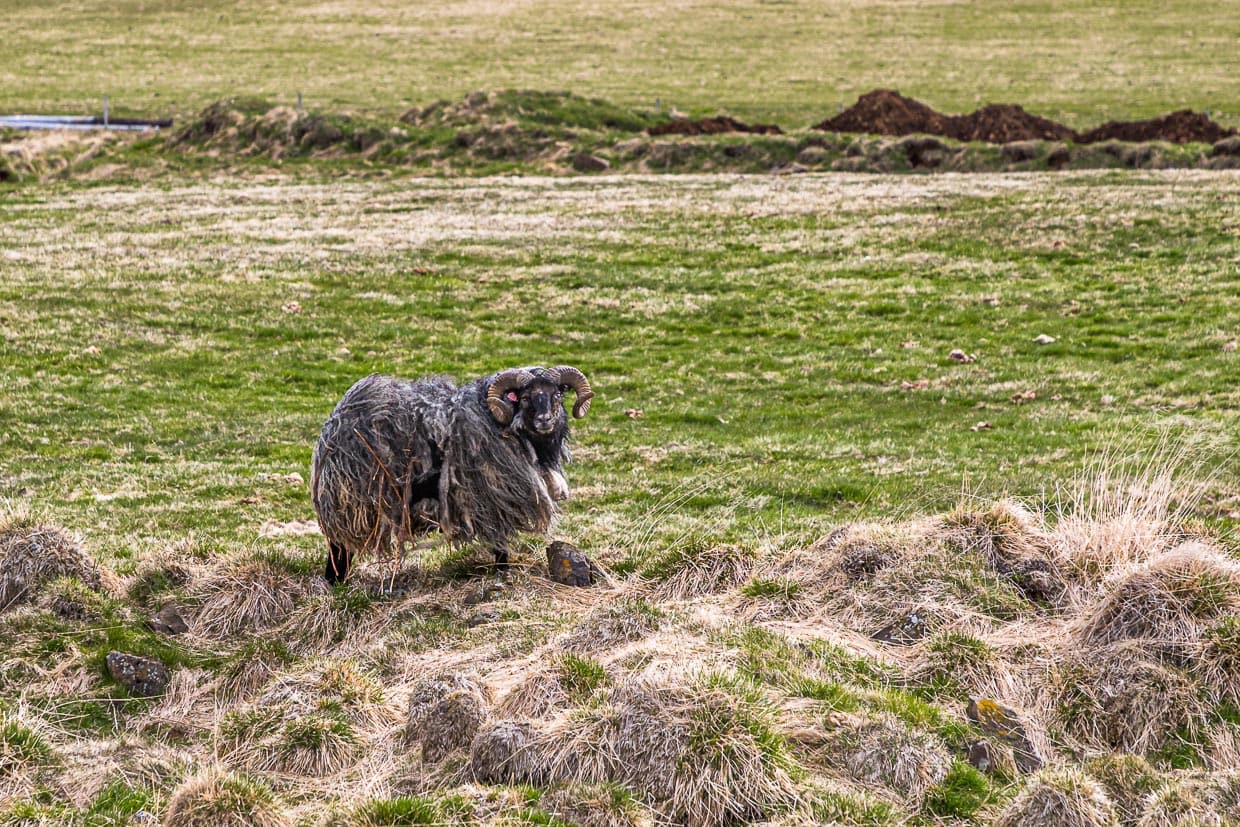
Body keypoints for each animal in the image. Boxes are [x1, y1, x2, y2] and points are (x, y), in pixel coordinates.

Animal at [310, 365, 594, 583]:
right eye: (524, 398)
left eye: (557, 394)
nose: (546, 420)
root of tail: (331, 430)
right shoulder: (491, 501)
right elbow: (500, 543)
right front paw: (503, 572)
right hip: (352, 503)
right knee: (339, 548)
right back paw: (336, 583)